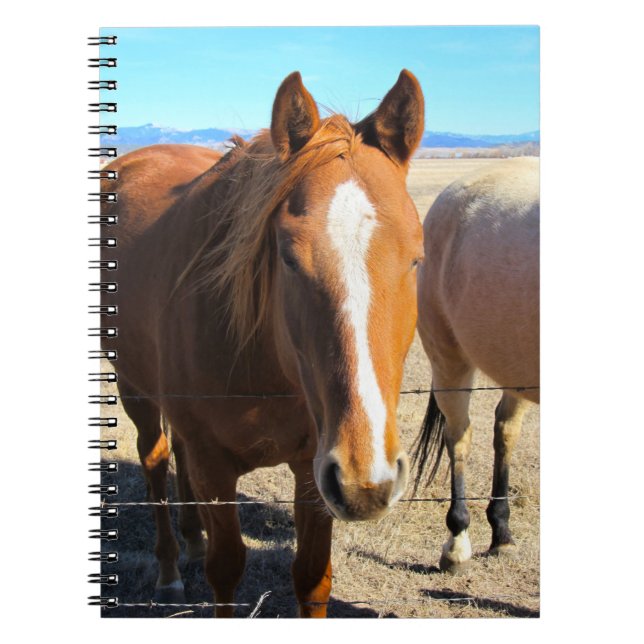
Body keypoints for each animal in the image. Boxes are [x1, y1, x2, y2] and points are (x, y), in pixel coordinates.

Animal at [101, 70, 426, 616]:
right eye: (288, 257)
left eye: (418, 258)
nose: (366, 480)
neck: (267, 365)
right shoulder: (217, 467)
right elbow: (227, 569)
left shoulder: (316, 468)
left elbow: (312, 577)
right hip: (134, 387)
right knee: (156, 459)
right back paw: (170, 569)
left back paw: (192, 539)